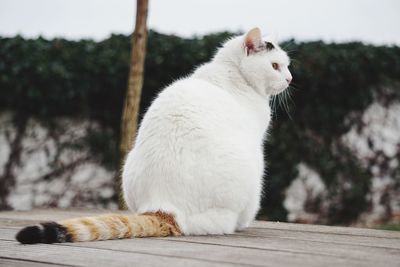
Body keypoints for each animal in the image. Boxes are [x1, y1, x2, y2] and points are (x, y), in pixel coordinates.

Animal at [16, 27, 290, 245]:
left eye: (286, 65)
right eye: (275, 66)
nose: (289, 78)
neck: (232, 73)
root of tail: (163, 206)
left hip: (127, 166)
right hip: (251, 174)